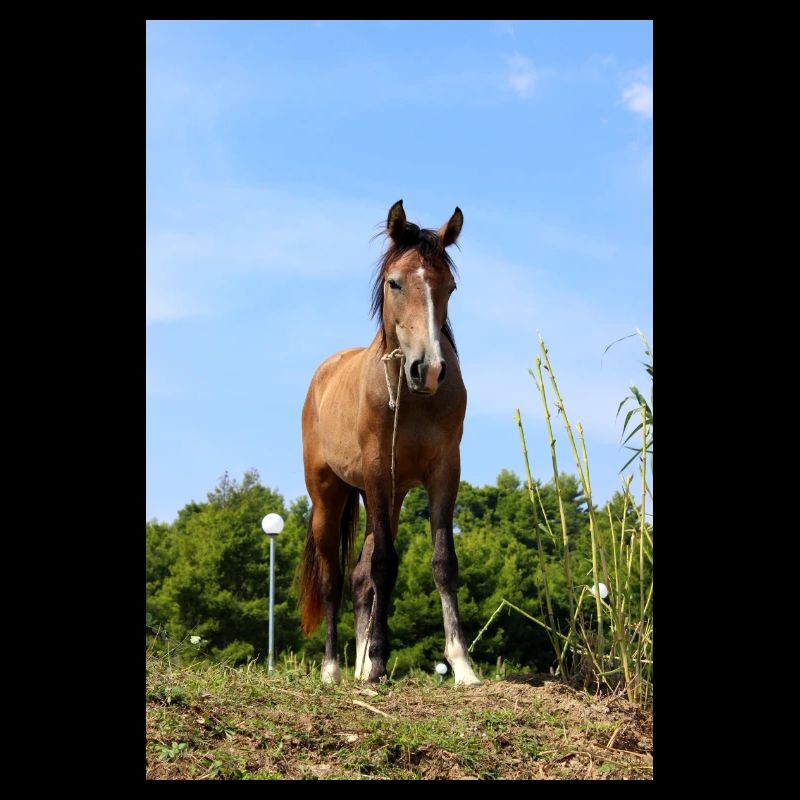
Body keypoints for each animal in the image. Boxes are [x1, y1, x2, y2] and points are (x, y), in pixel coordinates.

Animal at [298, 199, 480, 686]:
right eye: (395, 282)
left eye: (450, 287)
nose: (428, 369)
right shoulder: (378, 471)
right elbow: (384, 564)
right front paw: (379, 661)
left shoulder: (443, 472)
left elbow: (442, 563)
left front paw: (461, 664)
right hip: (330, 497)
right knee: (334, 580)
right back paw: (333, 669)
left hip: (390, 498)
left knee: (359, 578)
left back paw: (359, 665)